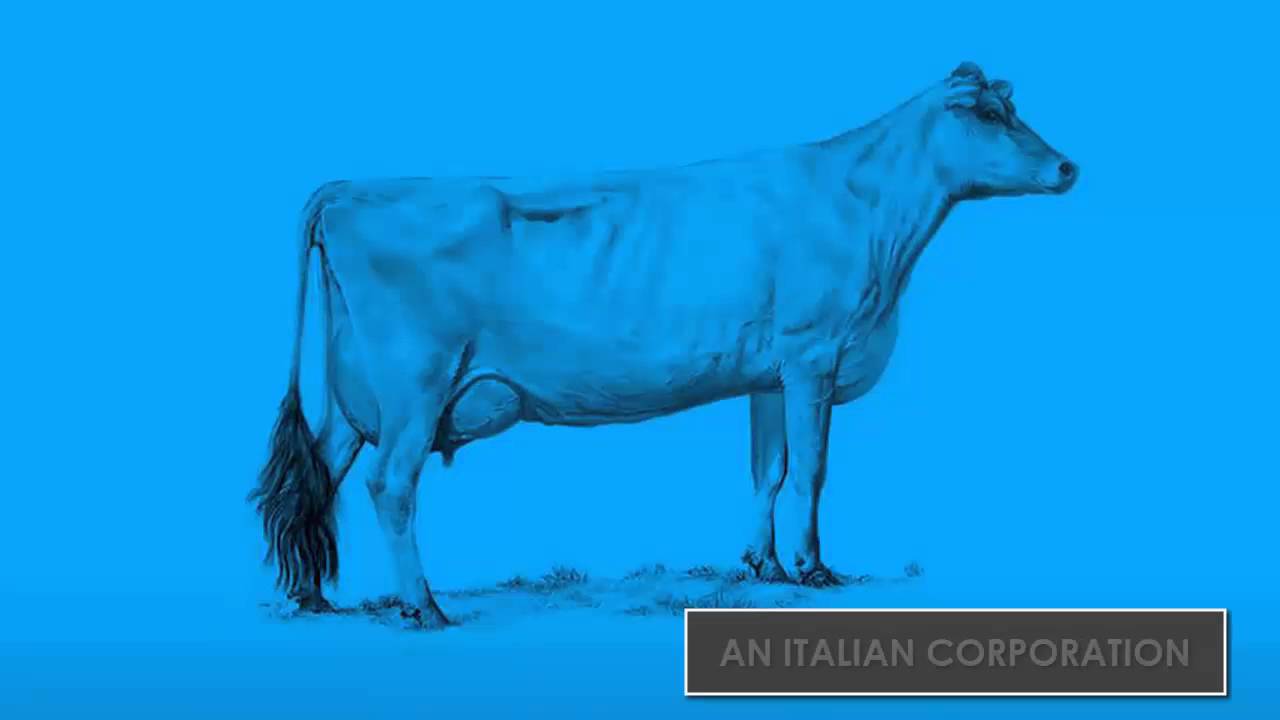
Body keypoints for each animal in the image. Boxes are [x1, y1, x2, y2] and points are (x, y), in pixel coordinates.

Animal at [250, 62, 1078, 629]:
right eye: (990, 113)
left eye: (1013, 108)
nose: (1067, 165)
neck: (868, 211)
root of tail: (350, 187)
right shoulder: (814, 355)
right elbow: (812, 472)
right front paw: (813, 569)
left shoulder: (769, 373)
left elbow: (769, 471)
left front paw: (763, 565)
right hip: (414, 383)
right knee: (389, 485)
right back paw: (423, 607)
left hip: (357, 395)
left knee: (320, 472)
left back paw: (313, 597)